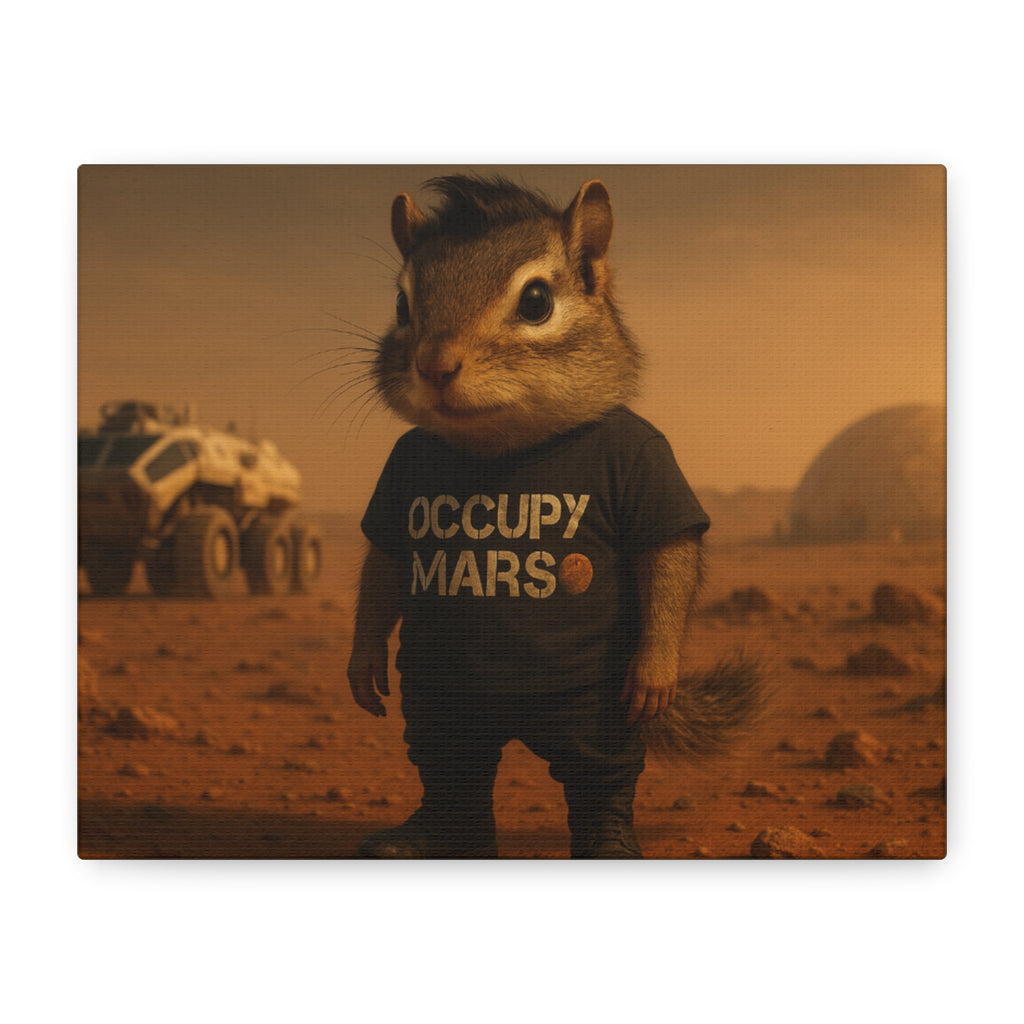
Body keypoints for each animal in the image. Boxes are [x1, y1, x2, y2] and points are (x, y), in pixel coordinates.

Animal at [346, 175, 765, 859]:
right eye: (404, 305)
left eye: (537, 300)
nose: (435, 365)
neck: (505, 447)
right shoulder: (399, 473)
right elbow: (384, 566)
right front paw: (362, 665)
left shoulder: (645, 460)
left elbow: (665, 554)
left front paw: (655, 670)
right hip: (439, 702)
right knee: (451, 761)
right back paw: (428, 835)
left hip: (592, 714)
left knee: (598, 768)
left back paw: (608, 837)